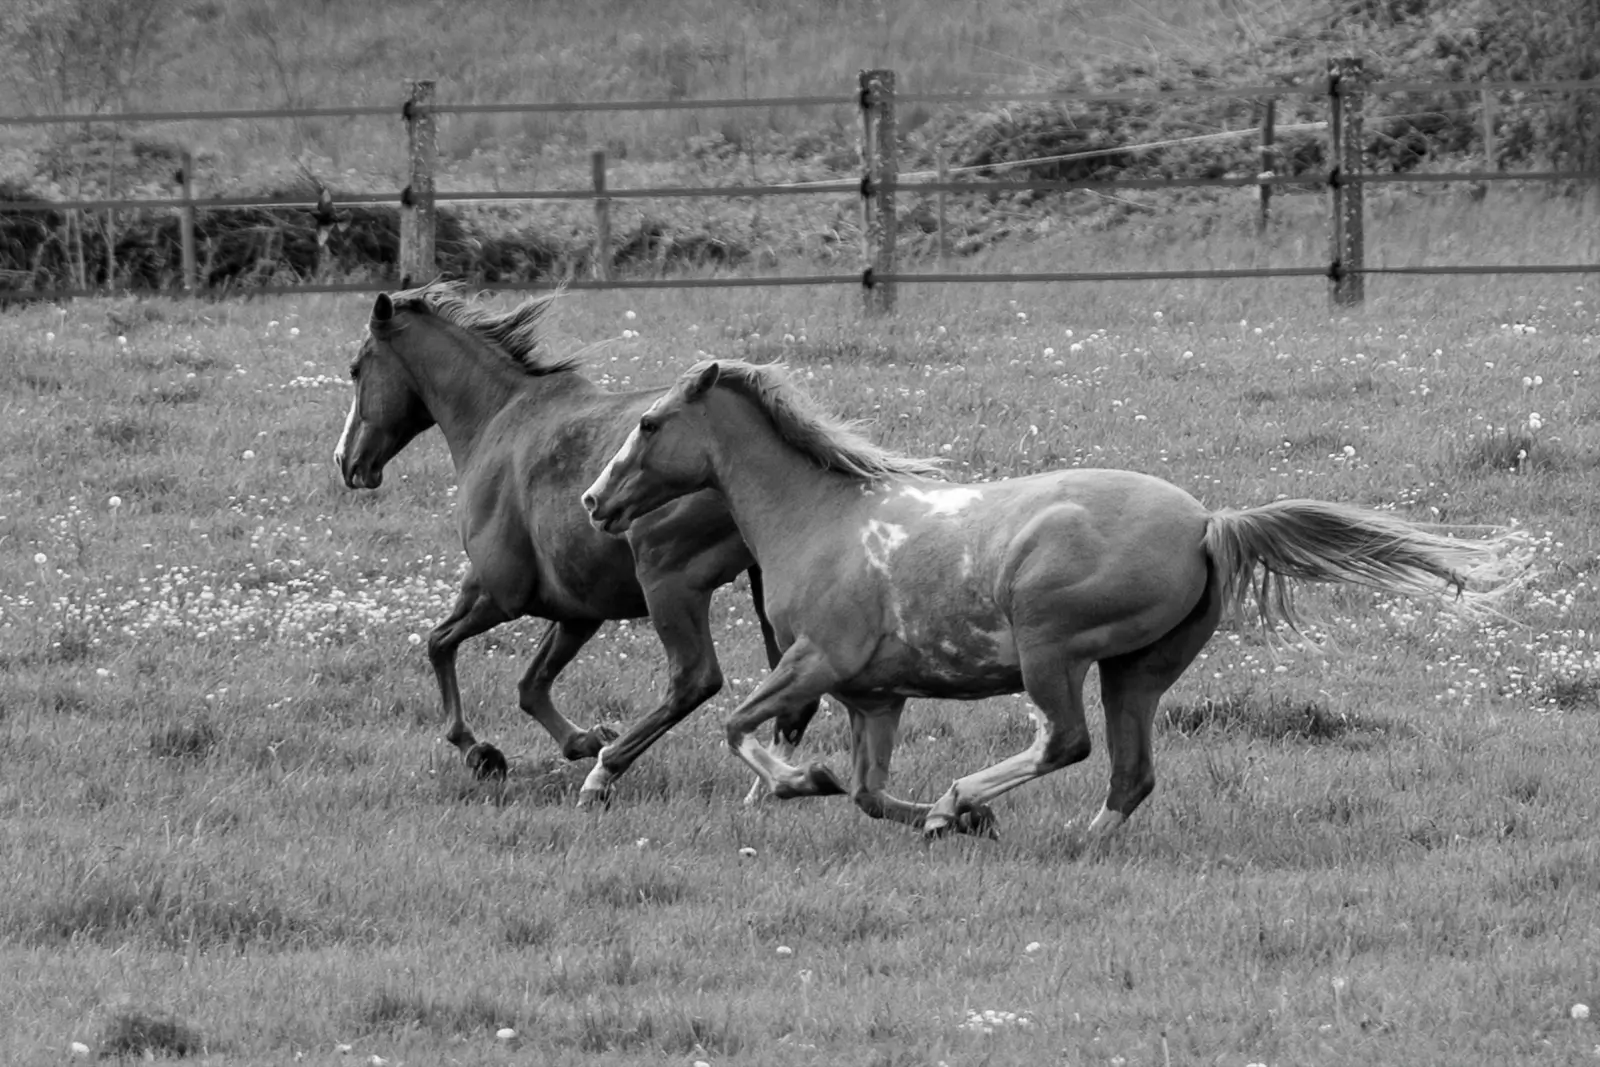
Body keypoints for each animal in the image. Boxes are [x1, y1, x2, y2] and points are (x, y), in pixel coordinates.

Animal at [333, 283, 817, 800]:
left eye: (356, 369)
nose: (346, 461)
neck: (498, 417)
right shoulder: (578, 609)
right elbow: (531, 686)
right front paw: (584, 739)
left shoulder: (496, 592)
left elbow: (438, 644)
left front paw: (479, 752)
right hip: (767, 586)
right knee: (791, 694)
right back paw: (767, 787)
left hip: (669, 582)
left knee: (695, 680)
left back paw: (604, 776)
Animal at [581, 359, 1526, 838]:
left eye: (649, 424)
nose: (594, 501)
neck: (822, 519)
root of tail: (1207, 522)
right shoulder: (874, 697)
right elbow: (869, 793)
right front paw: (939, 820)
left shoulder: (816, 661)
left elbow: (739, 726)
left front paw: (806, 782)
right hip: (1136, 671)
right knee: (1131, 773)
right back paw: (1066, 839)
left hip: (1053, 650)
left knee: (1068, 742)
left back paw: (969, 797)